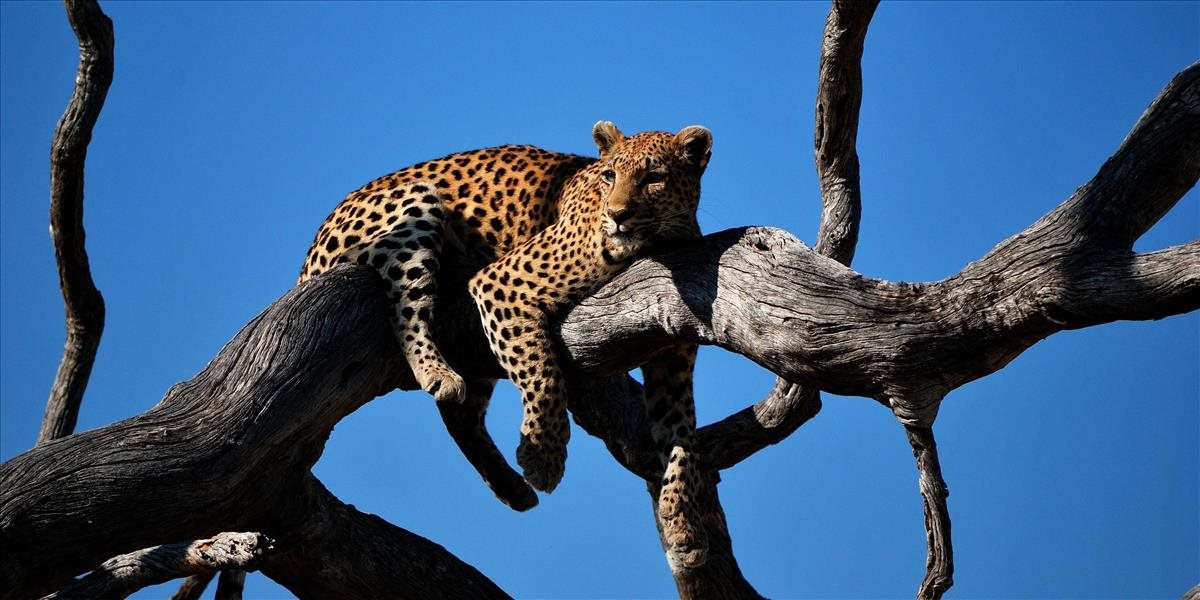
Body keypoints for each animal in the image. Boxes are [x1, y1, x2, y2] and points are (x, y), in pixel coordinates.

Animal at [299, 121, 713, 567]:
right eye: (609, 176)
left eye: (654, 178)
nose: (617, 215)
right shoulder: (501, 283)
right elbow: (542, 371)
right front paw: (544, 458)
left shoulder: (672, 363)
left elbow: (682, 437)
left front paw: (684, 525)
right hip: (415, 206)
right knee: (406, 307)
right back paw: (437, 372)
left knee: (460, 414)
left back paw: (510, 487)